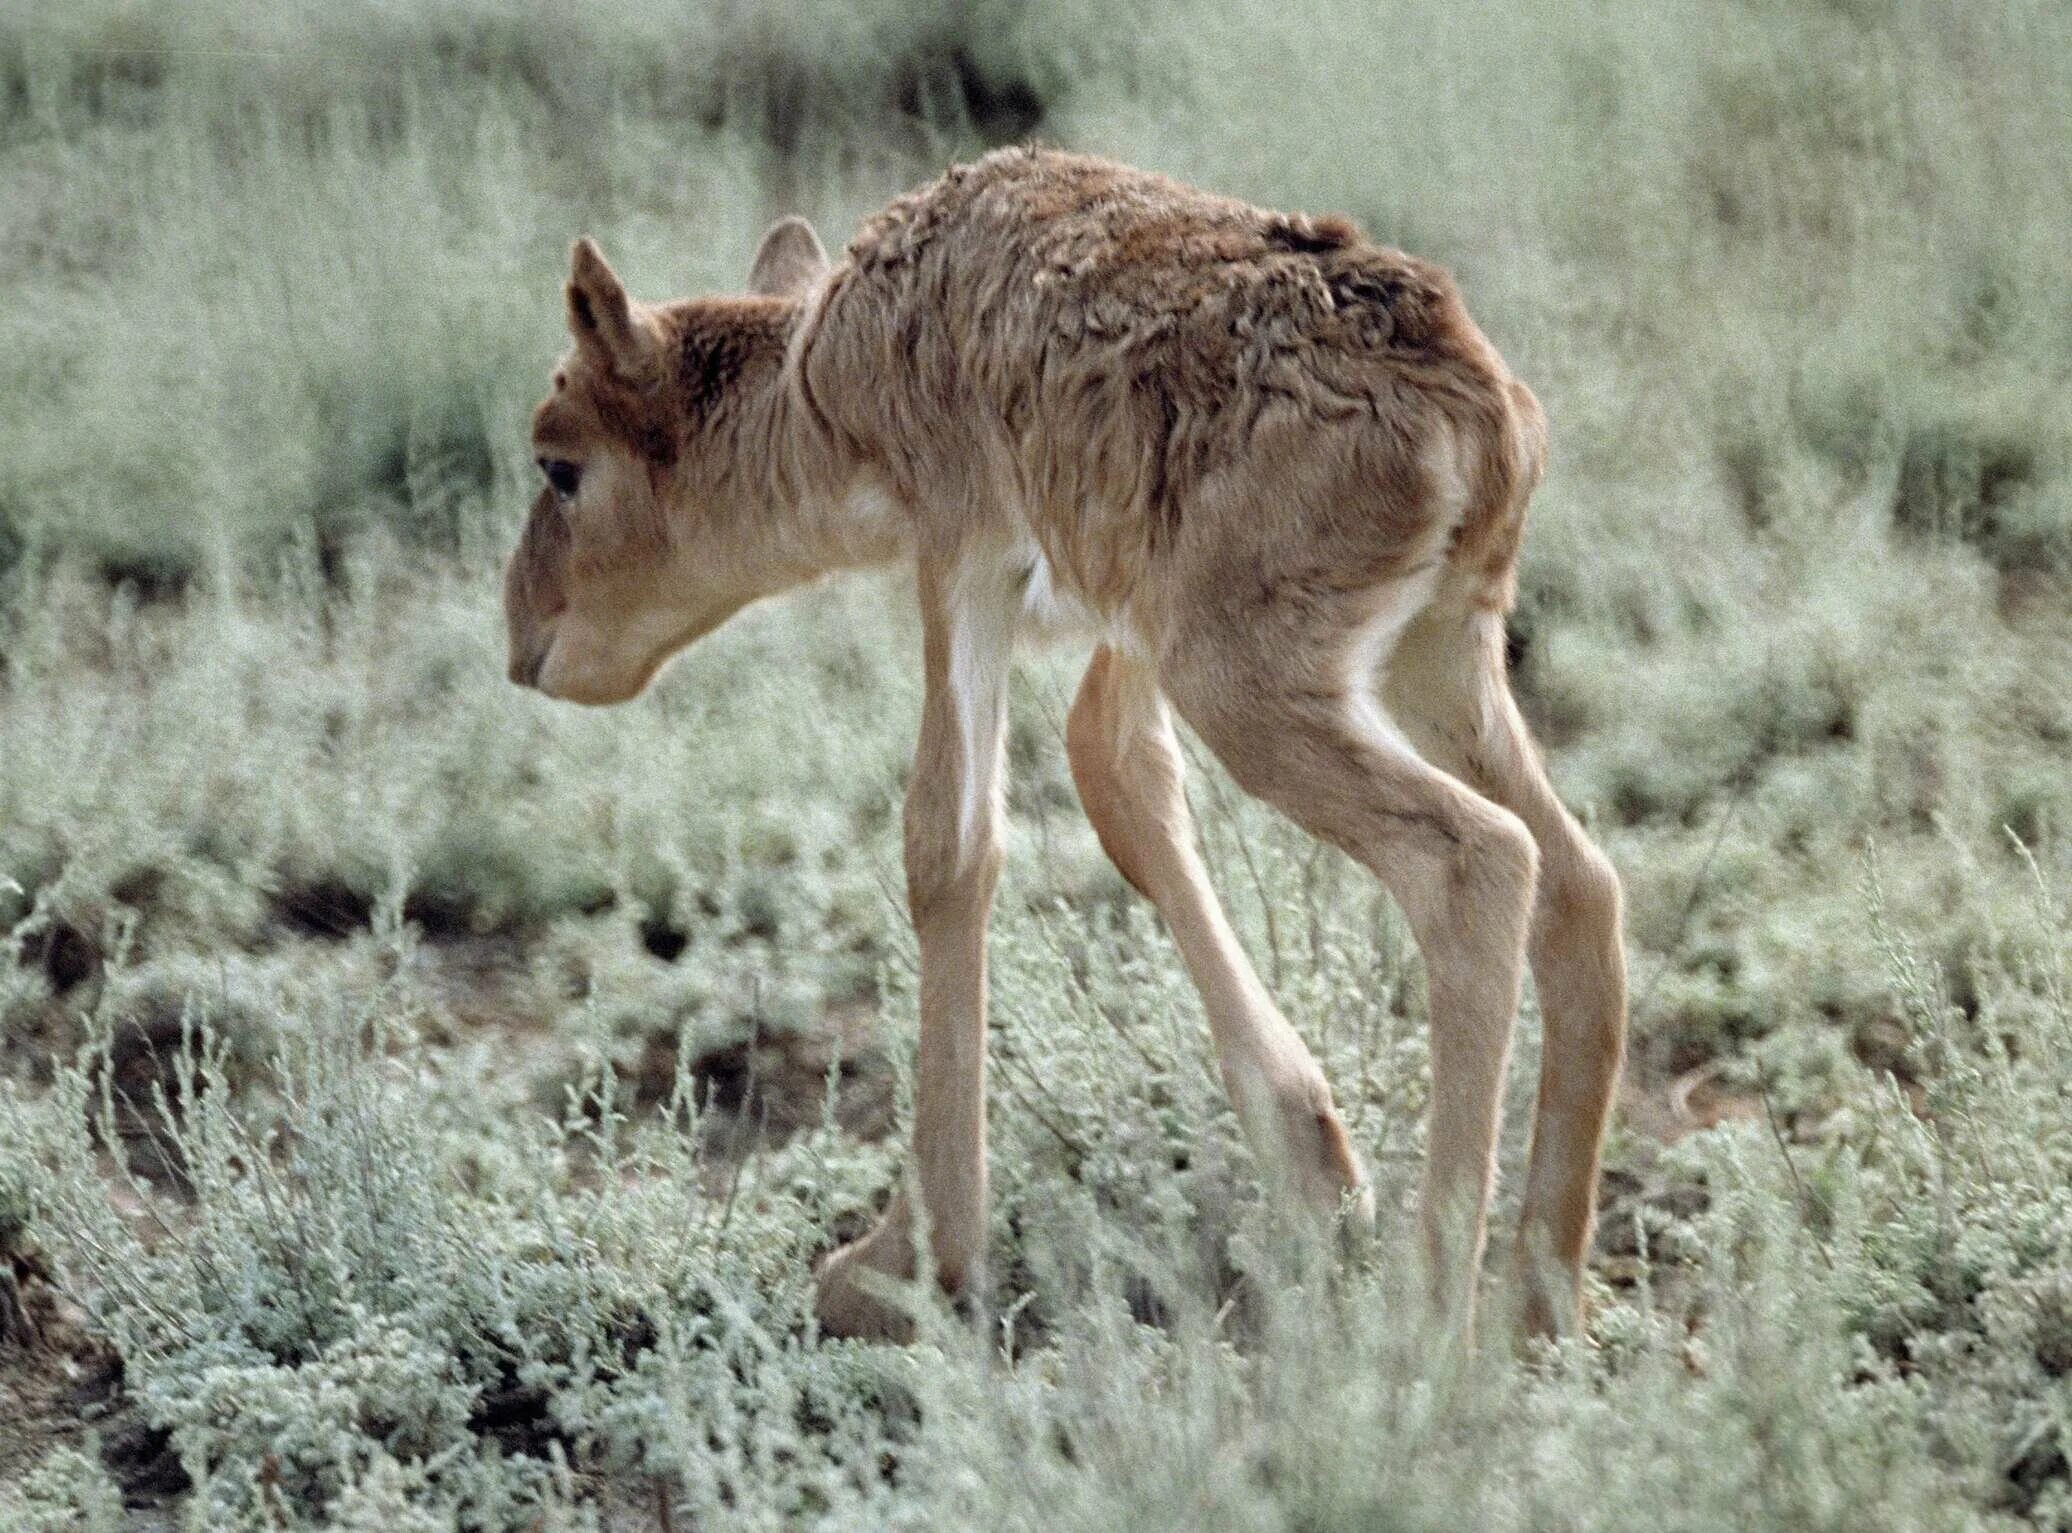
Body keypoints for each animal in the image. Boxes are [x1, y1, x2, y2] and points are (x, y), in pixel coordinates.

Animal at [497, 147, 1616, 1342]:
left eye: (560, 466)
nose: (521, 641)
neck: (821, 371)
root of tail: (1478, 406)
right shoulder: (1126, 619)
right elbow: (1116, 780)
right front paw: (1316, 1164)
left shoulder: (962, 556)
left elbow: (947, 845)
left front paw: (903, 1261)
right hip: (1432, 653)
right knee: (1579, 878)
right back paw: (1540, 1295)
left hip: (1254, 687)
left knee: (1476, 860)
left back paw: (1427, 1329)